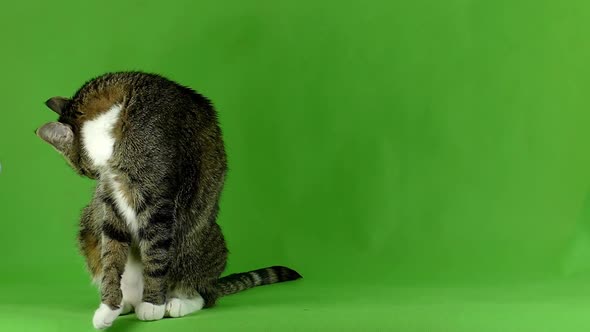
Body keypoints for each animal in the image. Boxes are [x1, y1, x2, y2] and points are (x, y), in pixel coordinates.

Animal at [35, 71, 302, 328]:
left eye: (80, 168)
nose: (93, 176)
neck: (114, 116)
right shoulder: (111, 201)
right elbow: (111, 254)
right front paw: (108, 307)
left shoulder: (158, 199)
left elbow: (155, 252)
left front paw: (153, 304)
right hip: (88, 225)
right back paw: (125, 304)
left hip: (195, 241)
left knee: (204, 296)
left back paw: (175, 304)